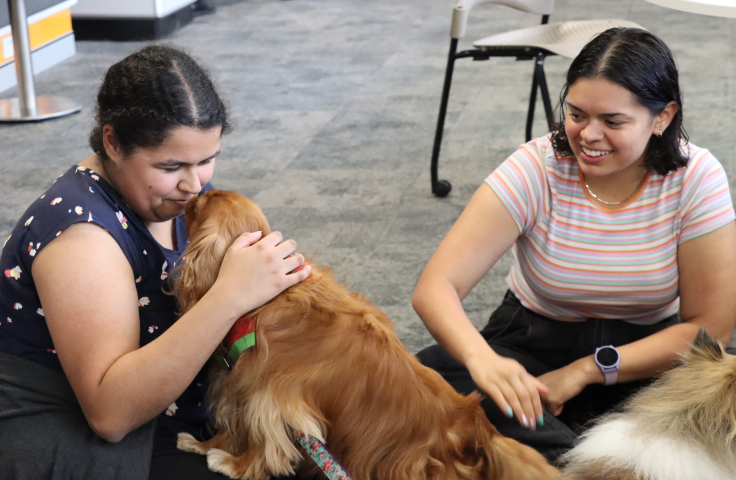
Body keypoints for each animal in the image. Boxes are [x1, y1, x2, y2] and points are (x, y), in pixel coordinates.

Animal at [170, 191, 556, 480]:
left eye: (196, 208)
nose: (192, 195)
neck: (268, 296)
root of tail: (474, 425)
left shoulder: (270, 398)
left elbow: (262, 444)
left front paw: (231, 463)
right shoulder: (238, 388)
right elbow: (232, 428)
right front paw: (203, 445)